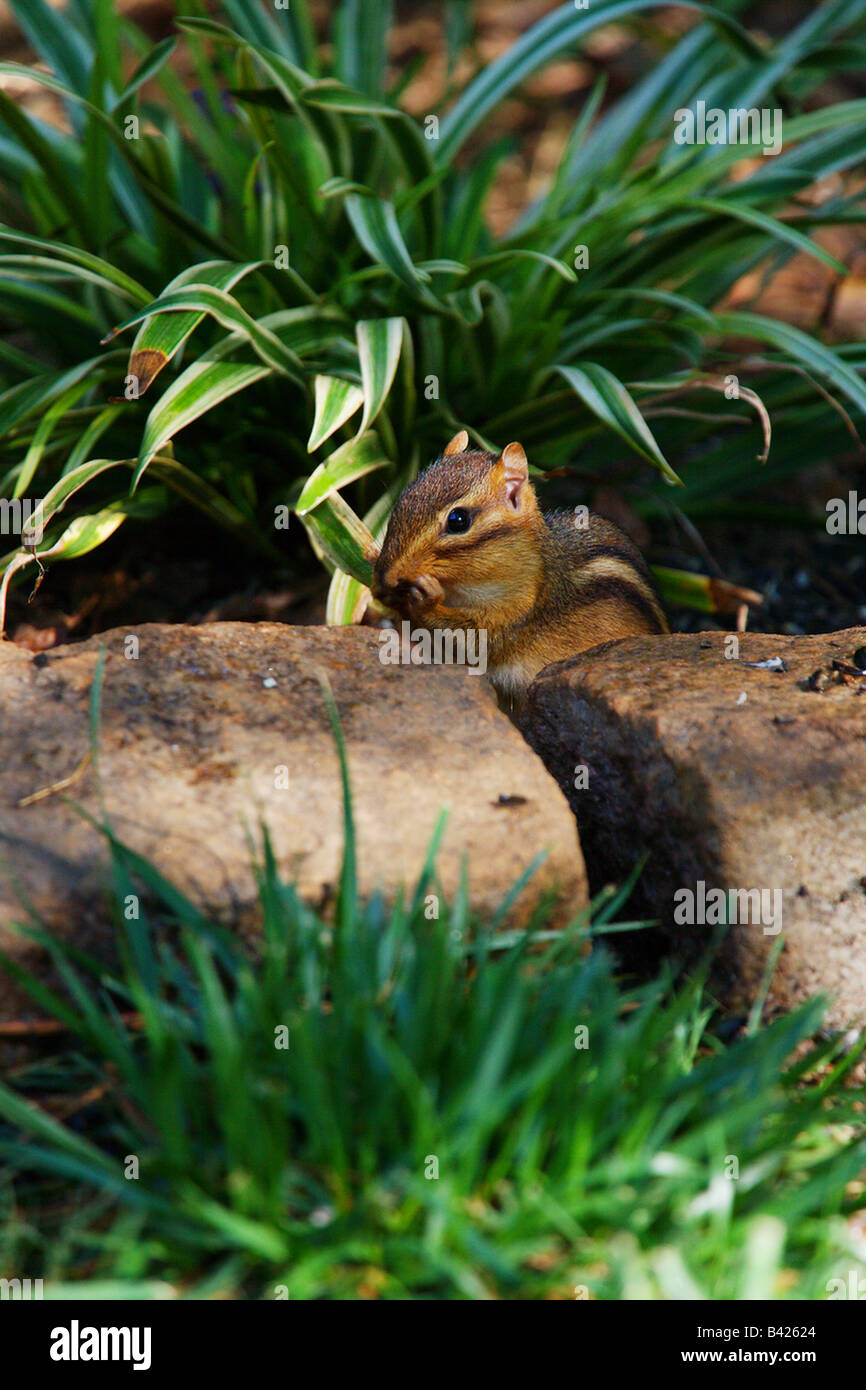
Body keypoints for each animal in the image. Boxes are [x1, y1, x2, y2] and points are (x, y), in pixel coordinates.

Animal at [371, 430, 668, 713]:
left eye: (458, 520)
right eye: (404, 497)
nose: (386, 577)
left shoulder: (519, 613)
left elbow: (475, 641)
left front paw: (427, 598)